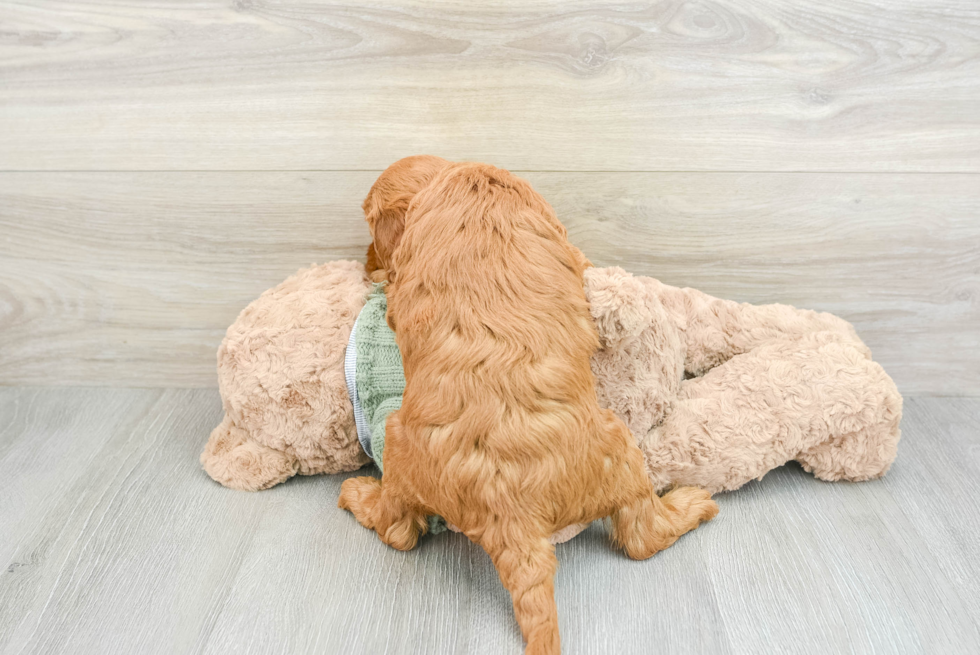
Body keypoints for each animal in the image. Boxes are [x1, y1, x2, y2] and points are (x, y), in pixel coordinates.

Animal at [340, 161, 716, 652]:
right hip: (620, 452)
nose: (365, 264)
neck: (461, 177)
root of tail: (513, 517)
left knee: (401, 532)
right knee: (641, 536)